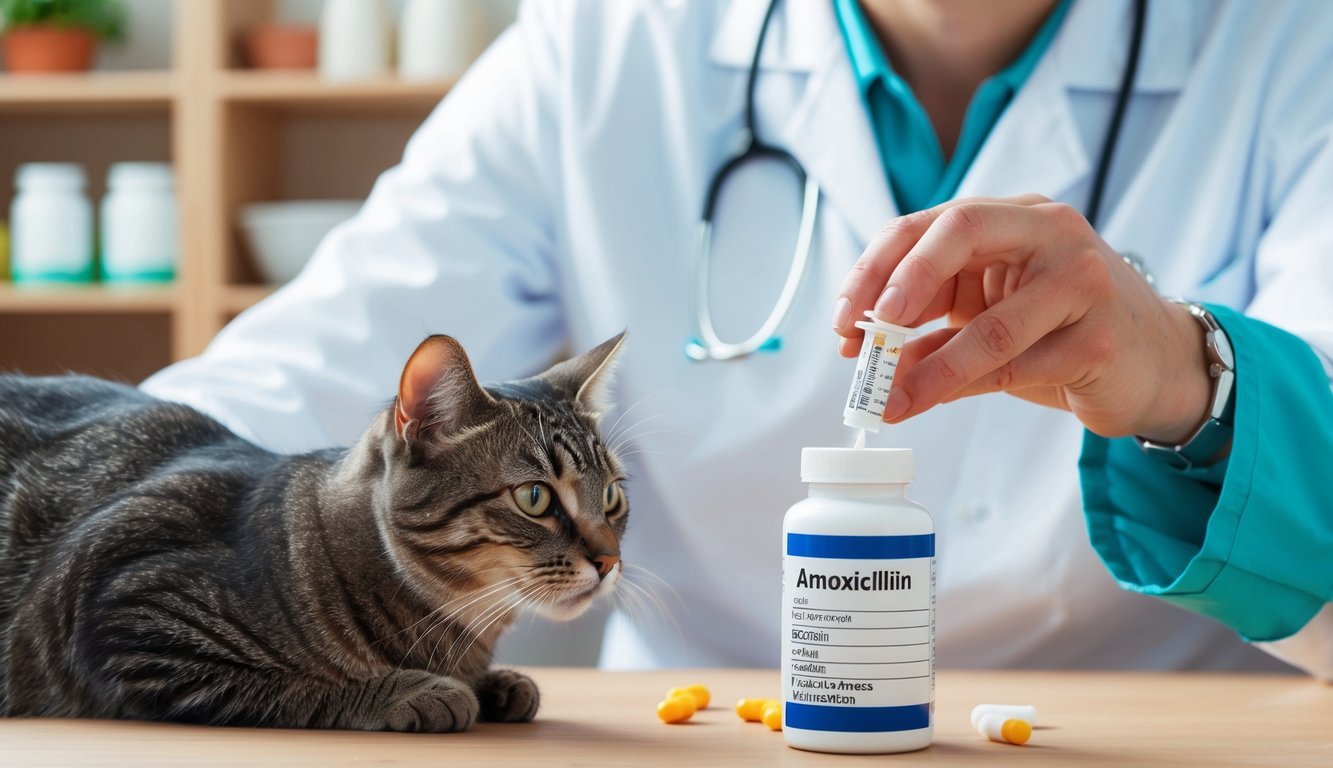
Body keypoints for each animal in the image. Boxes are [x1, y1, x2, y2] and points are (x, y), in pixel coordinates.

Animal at [0, 333, 629, 730]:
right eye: (535, 498)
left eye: (612, 496)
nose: (609, 560)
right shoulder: (131, 620)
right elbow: (291, 685)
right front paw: (413, 689)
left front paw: (498, 682)